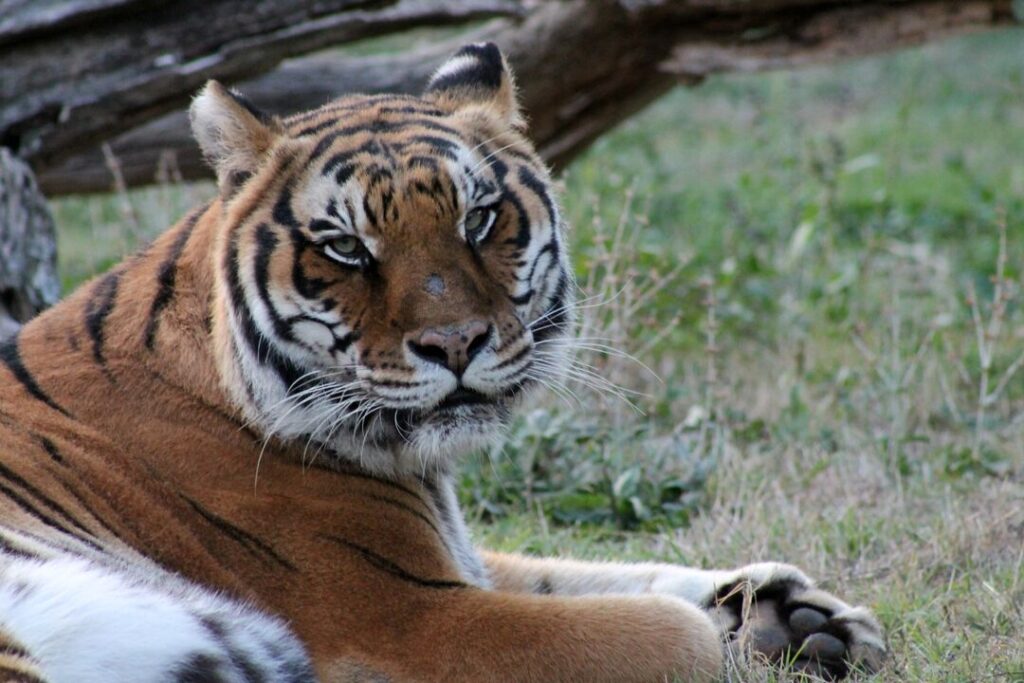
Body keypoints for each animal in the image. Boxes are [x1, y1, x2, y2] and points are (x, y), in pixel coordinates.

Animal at [0, 42, 885, 682]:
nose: (456, 343)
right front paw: (751, 637)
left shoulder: (456, 561)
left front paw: (798, 615)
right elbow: (669, 633)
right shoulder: (408, 616)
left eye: (481, 219)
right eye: (346, 249)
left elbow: (596, 570)